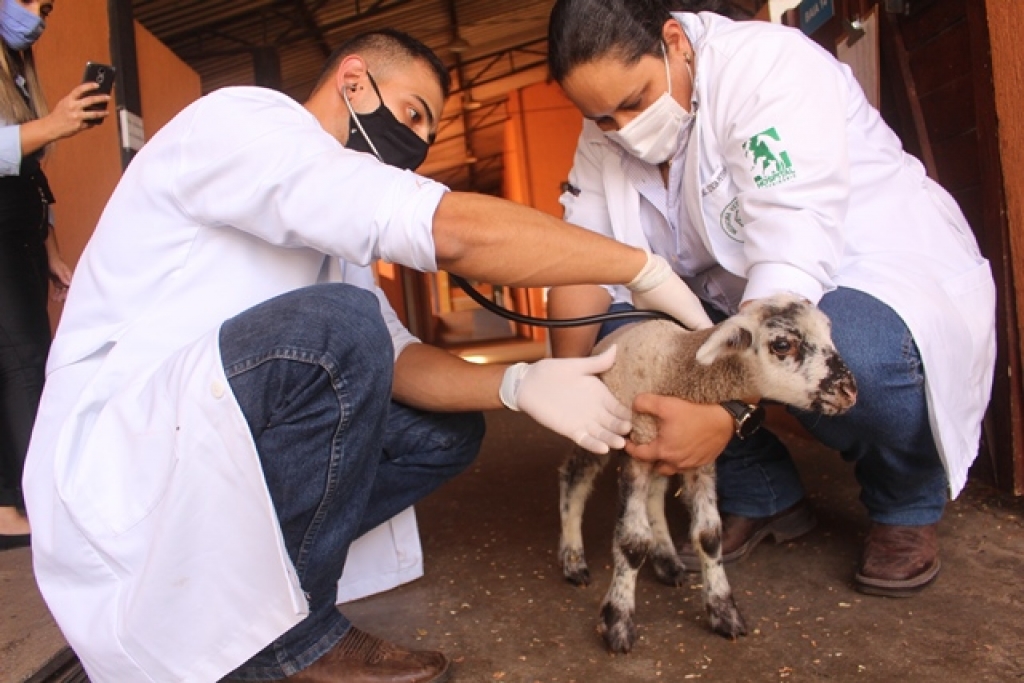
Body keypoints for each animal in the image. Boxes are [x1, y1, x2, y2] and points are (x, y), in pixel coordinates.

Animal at [557, 290, 860, 655]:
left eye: (828, 332)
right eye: (782, 345)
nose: (850, 391)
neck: (681, 369)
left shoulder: (698, 459)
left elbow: (709, 535)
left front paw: (724, 612)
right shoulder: (638, 453)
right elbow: (632, 541)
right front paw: (617, 622)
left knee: (655, 495)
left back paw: (667, 560)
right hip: (600, 431)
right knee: (574, 479)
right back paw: (574, 560)